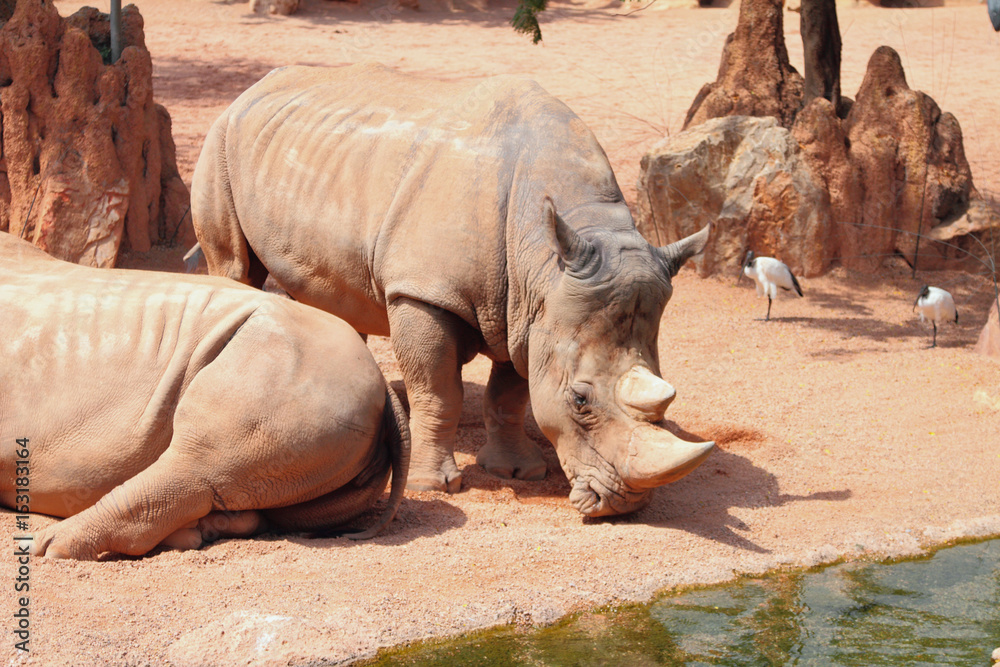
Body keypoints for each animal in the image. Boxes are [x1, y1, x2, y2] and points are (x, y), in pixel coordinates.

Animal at [191, 63, 713, 517]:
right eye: (580, 400)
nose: (625, 505)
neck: (547, 258)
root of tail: (255, 87)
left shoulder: (527, 313)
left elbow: (509, 396)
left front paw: (518, 472)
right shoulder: (426, 292)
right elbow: (437, 391)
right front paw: (434, 485)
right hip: (220, 140)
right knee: (235, 265)